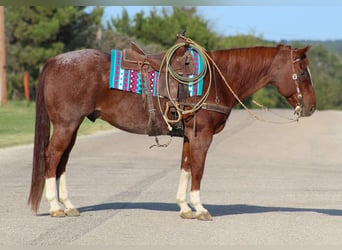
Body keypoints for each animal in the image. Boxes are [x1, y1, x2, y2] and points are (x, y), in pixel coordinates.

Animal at [28, 36, 316, 220]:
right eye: (302, 73)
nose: (312, 107)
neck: (216, 79)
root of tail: (54, 61)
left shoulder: (189, 136)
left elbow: (186, 167)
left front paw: (185, 208)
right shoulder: (202, 137)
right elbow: (198, 170)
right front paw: (200, 208)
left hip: (72, 126)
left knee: (62, 161)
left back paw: (68, 205)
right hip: (66, 125)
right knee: (52, 157)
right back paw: (55, 206)